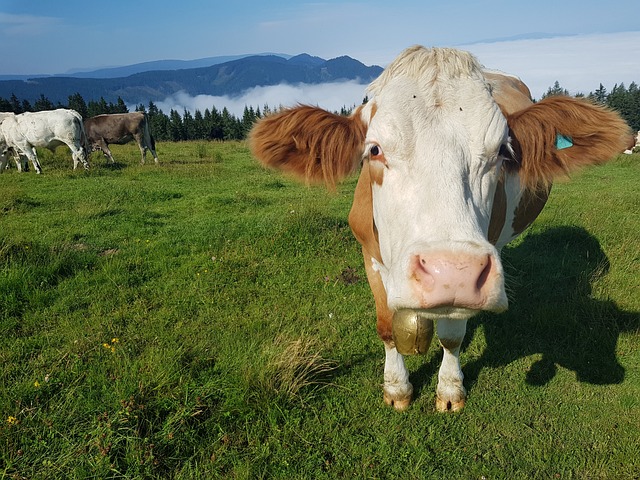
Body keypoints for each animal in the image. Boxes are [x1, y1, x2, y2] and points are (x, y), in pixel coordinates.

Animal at [249, 46, 632, 412]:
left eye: (501, 152)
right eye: (374, 149)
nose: (452, 272)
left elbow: (452, 336)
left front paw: (450, 390)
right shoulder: (369, 256)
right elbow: (386, 327)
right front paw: (396, 389)